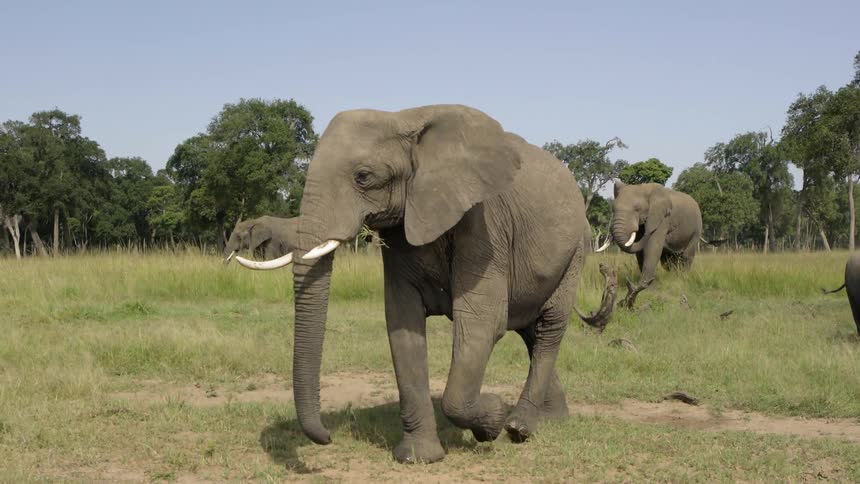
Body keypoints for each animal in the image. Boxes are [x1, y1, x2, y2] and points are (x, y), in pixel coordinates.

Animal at [232, 104, 614, 464]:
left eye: (363, 177)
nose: (327, 436)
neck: (405, 120)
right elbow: (403, 323)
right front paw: (419, 457)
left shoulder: (485, 224)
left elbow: (481, 321)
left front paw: (490, 420)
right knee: (530, 331)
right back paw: (551, 420)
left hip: (575, 252)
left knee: (549, 328)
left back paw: (519, 427)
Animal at [595, 179, 705, 307]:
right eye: (613, 209)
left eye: (637, 208)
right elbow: (640, 253)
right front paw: (647, 287)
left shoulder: (663, 218)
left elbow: (652, 248)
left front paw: (647, 288)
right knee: (668, 261)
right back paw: (673, 279)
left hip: (696, 229)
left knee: (687, 256)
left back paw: (682, 280)